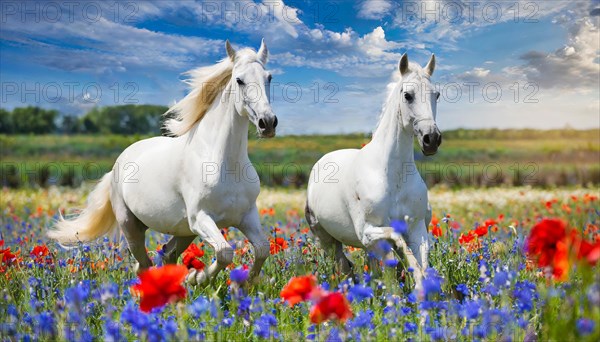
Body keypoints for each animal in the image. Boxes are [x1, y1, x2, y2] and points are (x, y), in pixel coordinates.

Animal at [49, 39, 278, 286]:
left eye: (268, 77)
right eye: (239, 80)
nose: (267, 123)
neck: (224, 163)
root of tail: (117, 165)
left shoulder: (247, 217)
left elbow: (262, 249)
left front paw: (243, 284)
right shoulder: (201, 217)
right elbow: (225, 252)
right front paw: (197, 277)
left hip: (185, 231)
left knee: (167, 254)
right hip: (132, 226)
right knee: (143, 264)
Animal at [304, 53, 440, 294]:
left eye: (437, 95)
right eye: (408, 95)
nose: (431, 139)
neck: (393, 177)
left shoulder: (417, 229)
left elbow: (420, 261)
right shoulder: (369, 231)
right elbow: (399, 243)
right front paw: (415, 281)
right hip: (327, 240)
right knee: (345, 268)